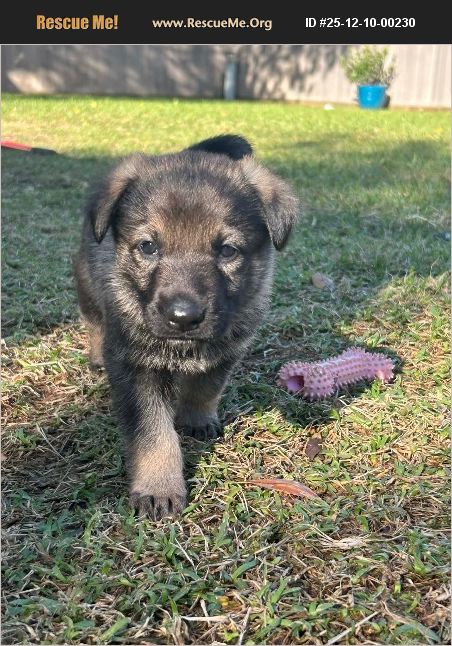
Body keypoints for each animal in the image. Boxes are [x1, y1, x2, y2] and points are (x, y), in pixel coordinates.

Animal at [74, 135, 299, 519]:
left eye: (227, 251)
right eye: (148, 247)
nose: (183, 317)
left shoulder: (226, 351)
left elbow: (205, 388)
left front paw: (196, 419)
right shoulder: (136, 368)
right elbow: (154, 433)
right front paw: (159, 486)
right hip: (87, 287)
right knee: (94, 322)